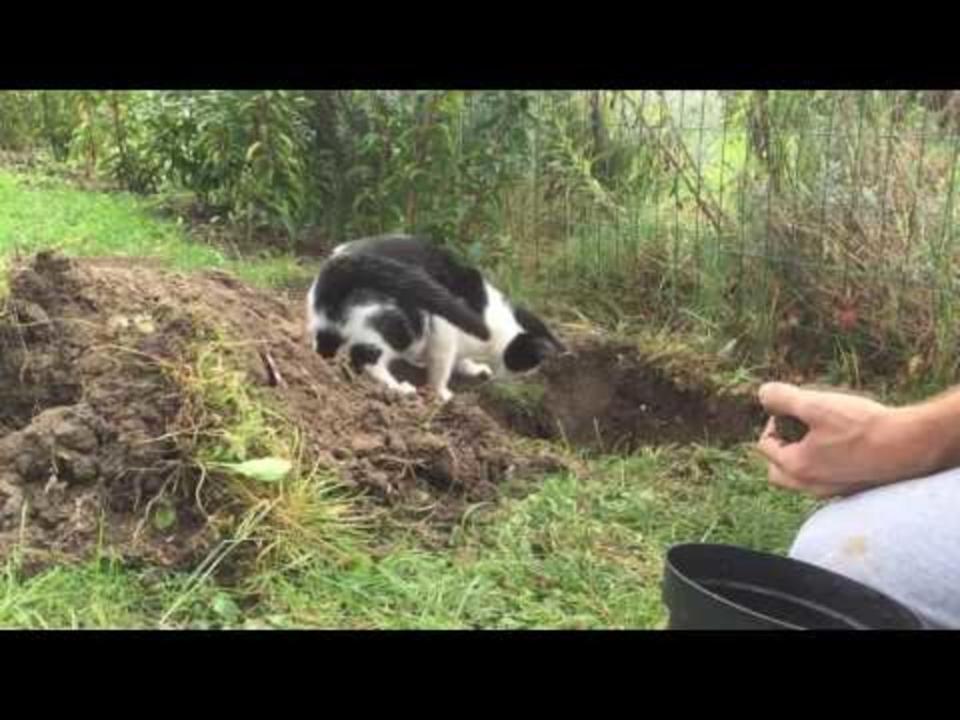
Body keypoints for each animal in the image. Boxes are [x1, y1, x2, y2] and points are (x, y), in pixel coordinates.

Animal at [304, 233, 568, 402]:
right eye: (529, 365)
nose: (521, 382)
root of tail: (342, 266)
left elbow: (460, 359)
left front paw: (472, 367)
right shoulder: (444, 332)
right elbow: (442, 368)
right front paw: (441, 393)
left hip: (325, 326)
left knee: (324, 349)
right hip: (400, 323)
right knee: (366, 359)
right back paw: (399, 388)